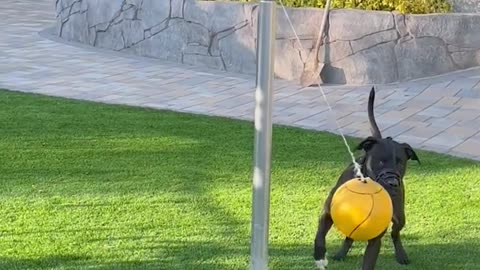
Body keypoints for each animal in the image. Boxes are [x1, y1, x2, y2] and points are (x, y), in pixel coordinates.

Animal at [314, 87, 418, 270]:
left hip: (400, 215)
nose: (392, 183)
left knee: (395, 233)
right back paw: (341, 253)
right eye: (381, 161)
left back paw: (401, 255)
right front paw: (319, 256)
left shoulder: (376, 238)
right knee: (349, 237)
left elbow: (369, 261)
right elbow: (320, 235)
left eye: (400, 163)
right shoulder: (327, 213)